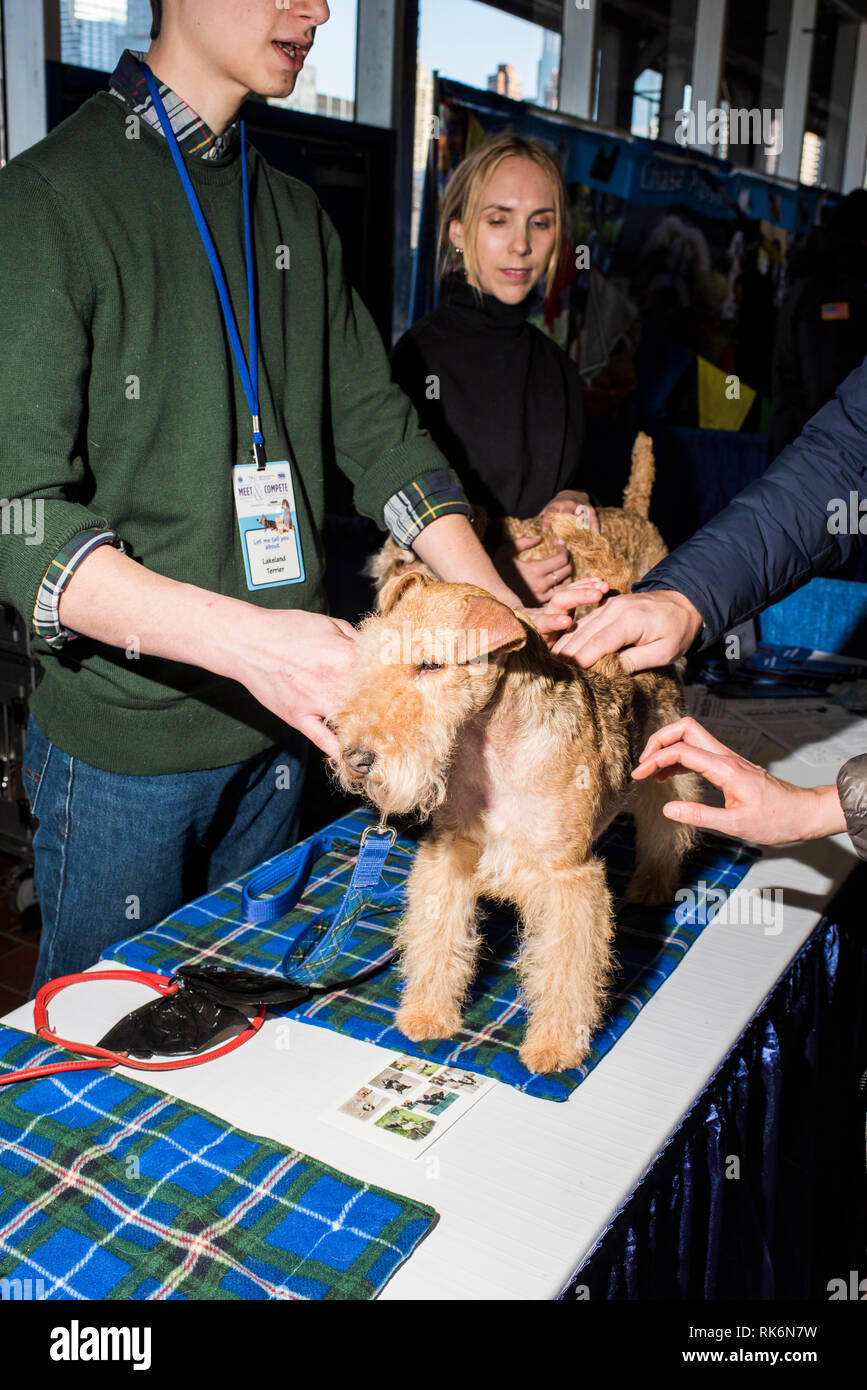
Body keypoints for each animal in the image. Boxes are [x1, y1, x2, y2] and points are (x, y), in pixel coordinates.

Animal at [327, 575, 700, 1073]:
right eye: (370, 655)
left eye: (430, 665)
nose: (356, 759)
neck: (491, 749)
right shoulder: (451, 854)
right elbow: (438, 940)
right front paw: (427, 1015)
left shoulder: (569, 878)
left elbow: (565, 969)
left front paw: (555, 1047)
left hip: (668, 770)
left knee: (666, 831)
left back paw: (652, 886)